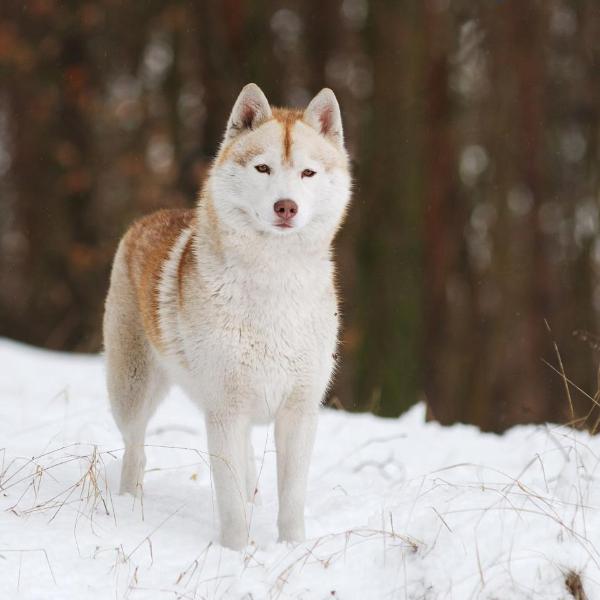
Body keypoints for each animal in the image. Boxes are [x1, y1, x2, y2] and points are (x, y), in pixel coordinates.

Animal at [104, 83, 352, 548]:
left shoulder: (298, 412)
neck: (274, 285)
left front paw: (291, 549)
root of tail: (147, 220)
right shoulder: (224, 411)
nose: (286, 207)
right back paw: (128, 504)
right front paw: (236, 553)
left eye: (308, 173)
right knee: (135, 450)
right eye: (263, 168)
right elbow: (231, 504)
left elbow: (291, 501)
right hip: (132, 391)